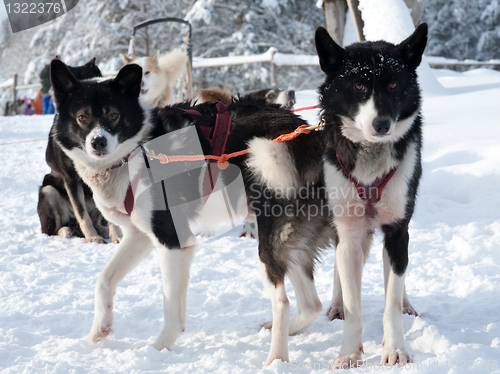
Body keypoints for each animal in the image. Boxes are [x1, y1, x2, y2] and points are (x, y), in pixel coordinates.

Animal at [314, 24, 428, 368]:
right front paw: (349, 353)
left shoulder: (397, 230)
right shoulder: (349, 233)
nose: (382, 124)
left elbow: (391, 296)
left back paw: (405, 302)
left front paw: (396, 348)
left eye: (393, 83)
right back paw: (337, 304)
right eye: (359, 85)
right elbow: (354, 304)